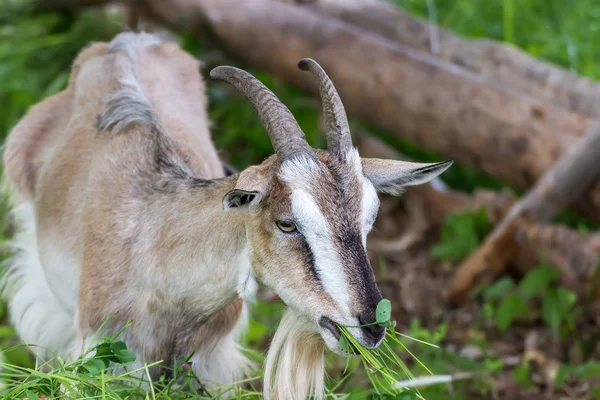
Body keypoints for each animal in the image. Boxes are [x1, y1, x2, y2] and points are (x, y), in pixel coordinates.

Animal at [0, 32, 450, 400]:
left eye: (368, 220)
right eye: (287, 223)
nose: (370, 328)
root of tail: (125, 42)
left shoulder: (211, 364)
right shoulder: (104, 351)